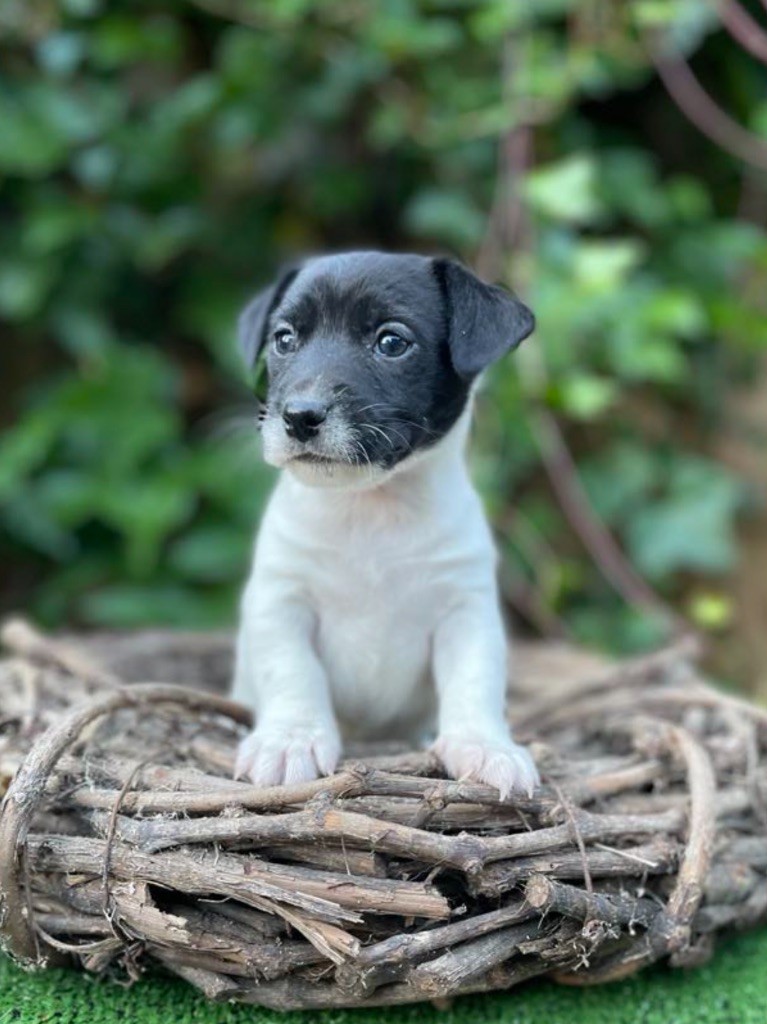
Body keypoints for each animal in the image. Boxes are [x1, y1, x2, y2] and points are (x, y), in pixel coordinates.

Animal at [231, 249, 536, 798]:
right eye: (284, 339)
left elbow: (475, 680)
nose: (299, 416)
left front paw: (485, 746)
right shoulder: (280, 600)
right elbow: (291, 671)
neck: (370, 509)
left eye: (392, 342)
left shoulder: (466, 611)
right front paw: (289, 739)